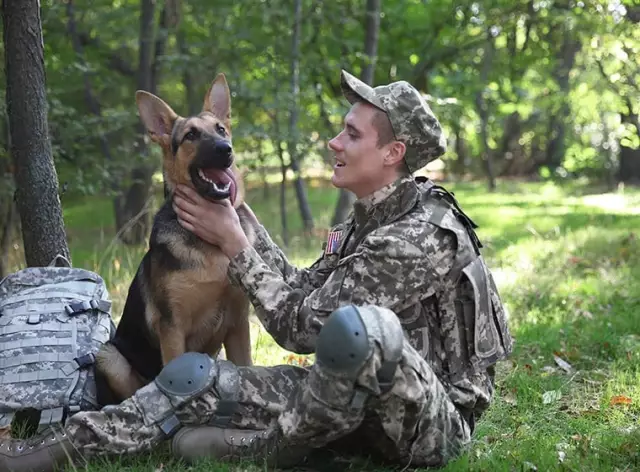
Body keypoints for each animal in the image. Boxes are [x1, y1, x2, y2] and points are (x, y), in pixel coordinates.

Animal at [95, 74, 255, 406]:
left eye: (221, 129)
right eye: (191, 135)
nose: (226, 149)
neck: (211, 246)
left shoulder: (238, 324)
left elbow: (247, 367)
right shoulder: (172, 329)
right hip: (108, 357)